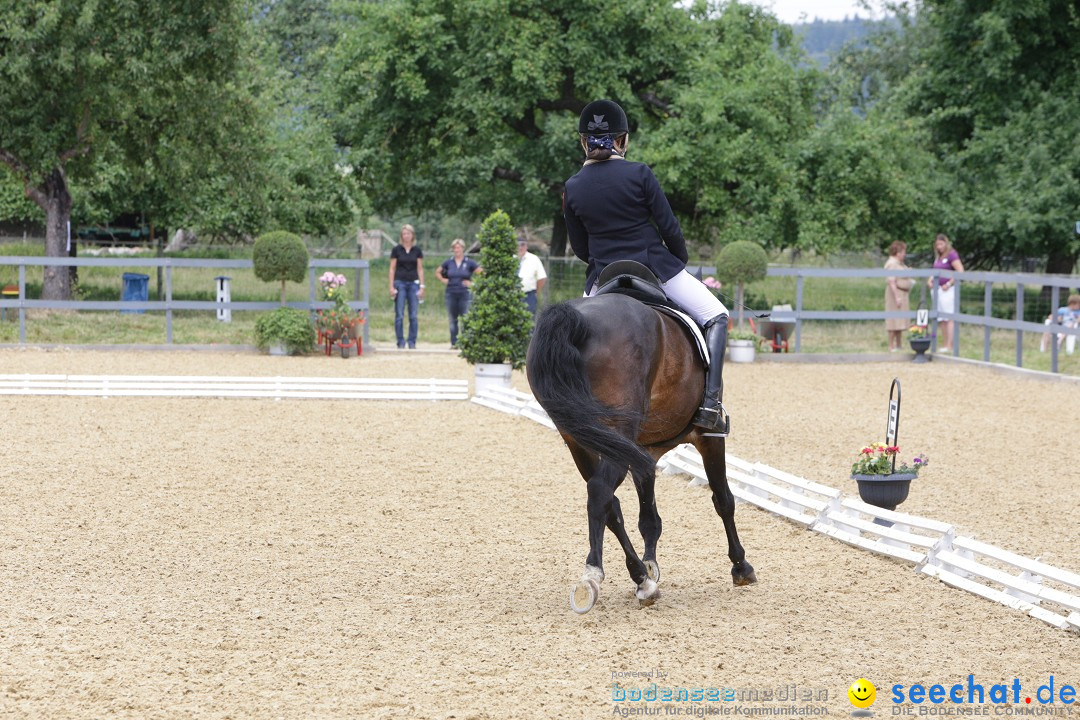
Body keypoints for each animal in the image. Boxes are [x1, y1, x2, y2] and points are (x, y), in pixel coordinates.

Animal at [527, 293, 756, 613]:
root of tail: (576, 319)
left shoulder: (644, 452)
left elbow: (648, 517)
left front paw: (650, 566)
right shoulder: (708, 437)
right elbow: (723, 500)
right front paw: (741, 566)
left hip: (580, 439)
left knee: (608, 503)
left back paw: (639, 579)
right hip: (616, 431)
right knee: (600, 492)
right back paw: (594, 577)